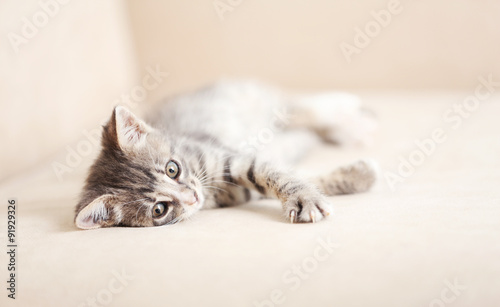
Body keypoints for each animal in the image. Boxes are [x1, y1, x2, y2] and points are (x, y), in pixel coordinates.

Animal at [76, 80, 376, 230]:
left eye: (172, 169)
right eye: (159, 209)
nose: (193, 197)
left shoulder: (234, 158)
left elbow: (278, 175)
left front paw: (306, 199)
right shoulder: (241, 192)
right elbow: (302, 175)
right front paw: (357, 176)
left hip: (267, 104)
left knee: (307, 108)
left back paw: (353, 119)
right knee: (307, 129)